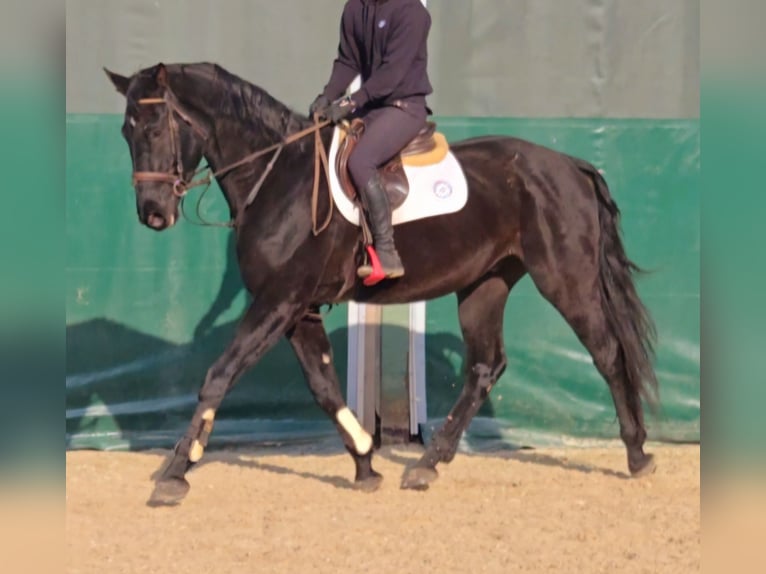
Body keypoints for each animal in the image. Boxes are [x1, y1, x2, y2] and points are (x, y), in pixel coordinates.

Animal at [105, 60, 664, 506]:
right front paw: (365, 462)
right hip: (484, 284)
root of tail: (571, 165)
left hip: (566, 279)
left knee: (607, 352)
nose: (152, 213)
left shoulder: (278, 301)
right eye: (126, 134)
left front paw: (177, 472)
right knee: (485, 366)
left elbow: (219, 375)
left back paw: (638, 454)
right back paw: (426, 465)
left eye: (154, 129)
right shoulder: (299, 309)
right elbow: (324, 388)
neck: (278, 177)